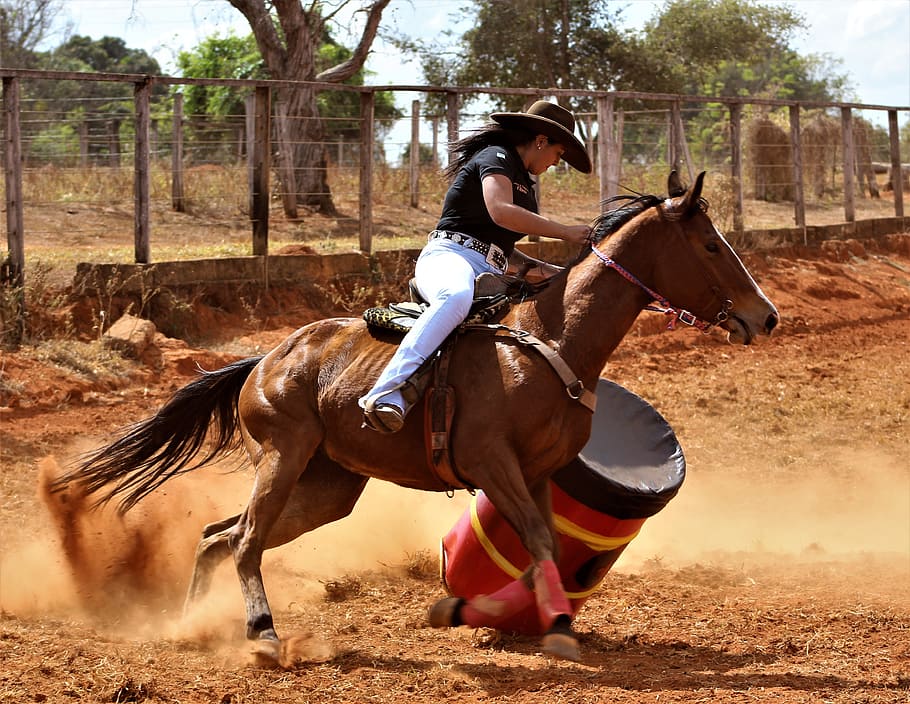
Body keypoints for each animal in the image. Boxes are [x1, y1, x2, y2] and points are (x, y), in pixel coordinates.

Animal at [52, 171, 779, 664]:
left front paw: (482, 613)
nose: (765, 315)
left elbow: (540, 550)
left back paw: (190, 625)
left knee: (217, 535)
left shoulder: (539, 473)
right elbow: (539, 547)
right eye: (710, 246)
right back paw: (262, 633)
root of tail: (268, 358)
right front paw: (520, 625)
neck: (550, 342)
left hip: (328, 485)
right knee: (248, 538)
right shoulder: (493, 463)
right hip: (283, 457)